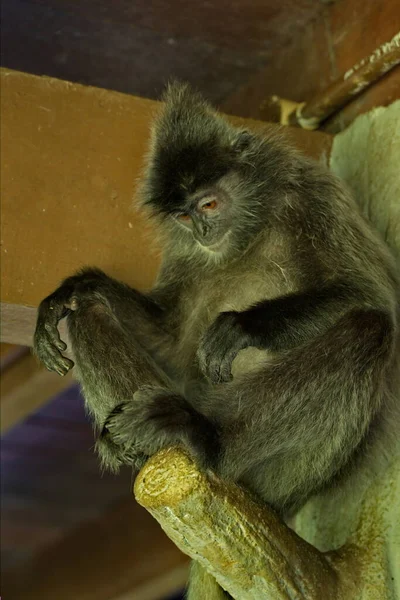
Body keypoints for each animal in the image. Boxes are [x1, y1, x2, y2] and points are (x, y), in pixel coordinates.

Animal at [33, 82, 396, 596]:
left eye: (208, 205)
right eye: (184, 218)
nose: (203, 230)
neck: (246, 233)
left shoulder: (313, 194)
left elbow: (370, 293)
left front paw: (243, 327)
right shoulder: (187, 253)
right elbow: (168, 336)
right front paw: (77, 287)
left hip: (283, 480)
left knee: (369, 328)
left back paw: (203, 435)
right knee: (89, 314)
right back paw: (136, 443)